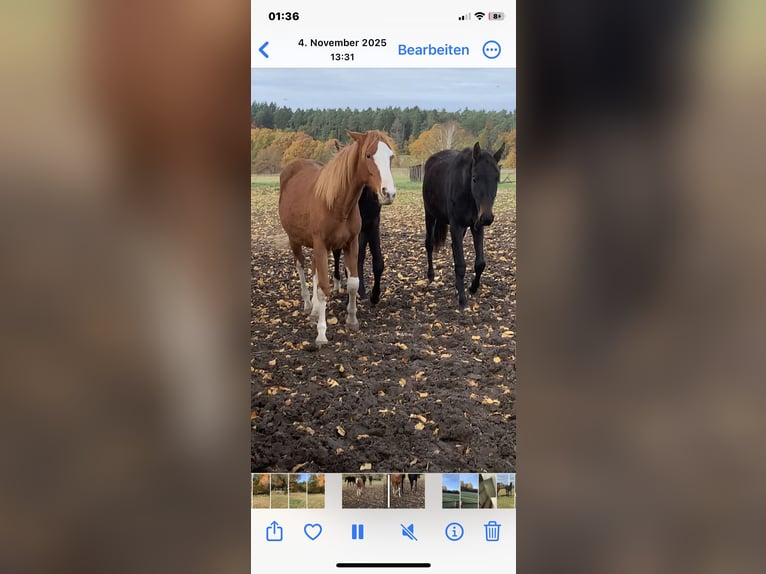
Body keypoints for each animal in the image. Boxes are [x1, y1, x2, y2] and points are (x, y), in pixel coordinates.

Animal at [278, 130, 395, 346]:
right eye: (368, 155)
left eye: (390, 156)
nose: (388, 193)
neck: (336, 203)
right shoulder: (321, 245)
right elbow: (324, 288)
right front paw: (321, 334)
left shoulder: (351, 243)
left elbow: (353, 284)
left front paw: (352, 319)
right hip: (294, 239)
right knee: (300, 267)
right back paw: (308, 305)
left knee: (314, 269)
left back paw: (315, 310)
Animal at [422, 142, 505, 308]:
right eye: (474, 178)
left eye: (496, 178)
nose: (487, 218)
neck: (468, 196)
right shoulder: (456, 225)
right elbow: (460, 265)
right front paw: (462, 300)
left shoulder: (477, 226)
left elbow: (480, 263)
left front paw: (472, 287)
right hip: (430, 214)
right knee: (429, 244)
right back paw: (431, 276)